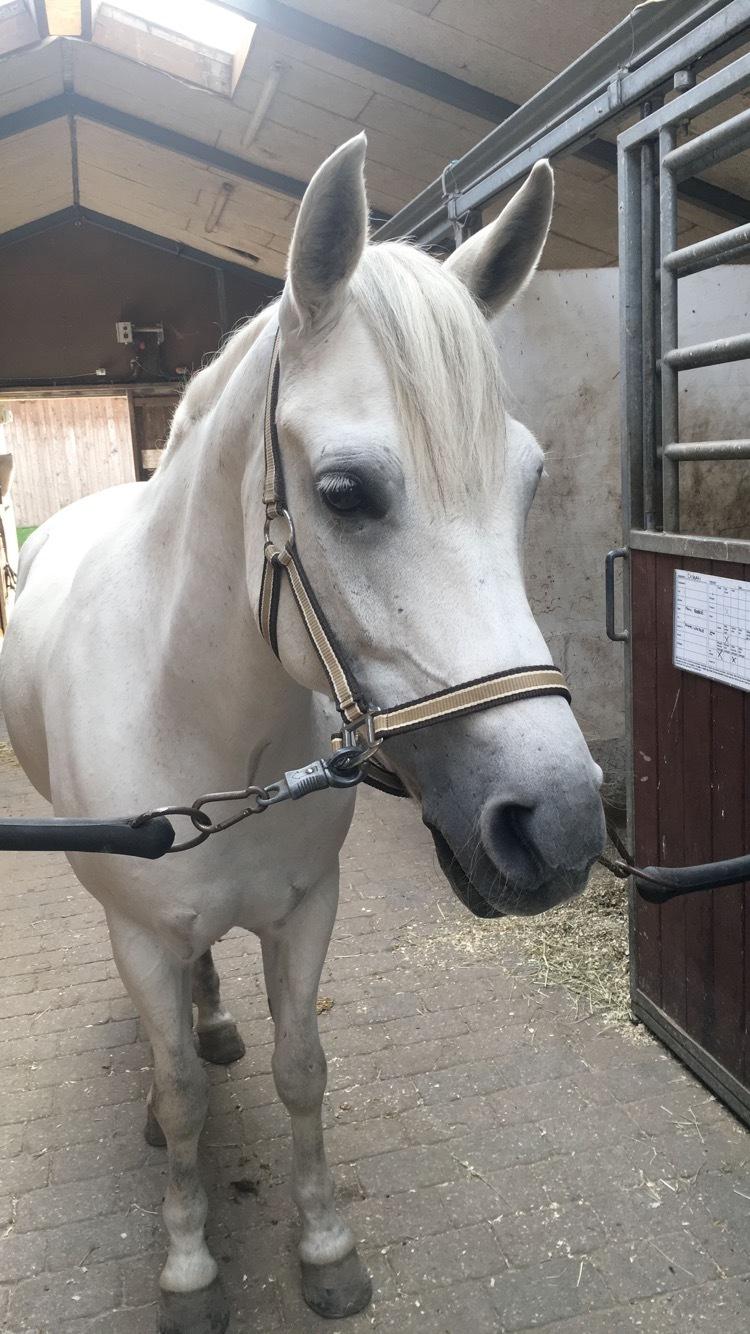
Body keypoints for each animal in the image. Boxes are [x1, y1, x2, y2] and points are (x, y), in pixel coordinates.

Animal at [1, 138, 600, 1334]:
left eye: (530, 481)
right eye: (345, 491)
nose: (558, 823)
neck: (205, 721)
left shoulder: (303, 910)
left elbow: (300, 1066)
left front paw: (326, 1247)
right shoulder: (139, 933)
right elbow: (186, 1094)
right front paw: (189, 1268)